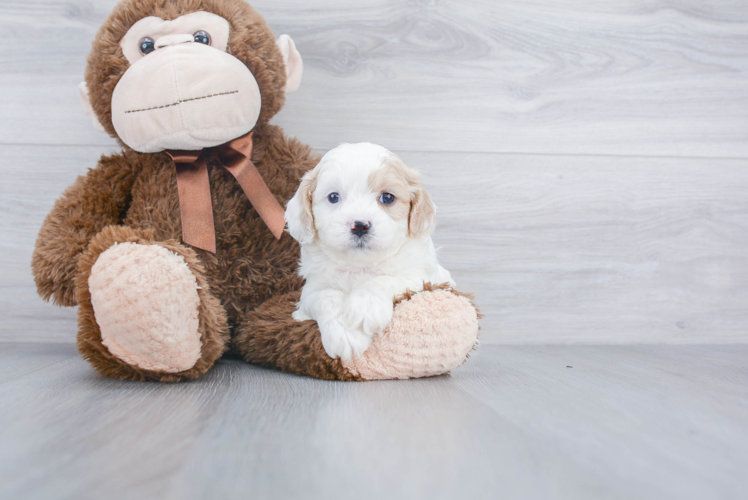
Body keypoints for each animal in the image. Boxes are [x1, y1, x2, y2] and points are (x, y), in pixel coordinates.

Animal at [284, 144, 450, 360]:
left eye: (387, 197)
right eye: (333, 197)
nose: (360, 225)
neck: (360, 267)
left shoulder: (425, 278)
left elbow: (386, 280)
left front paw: (366, 307)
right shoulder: (310, 292)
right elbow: (326, 296)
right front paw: (345, 333)